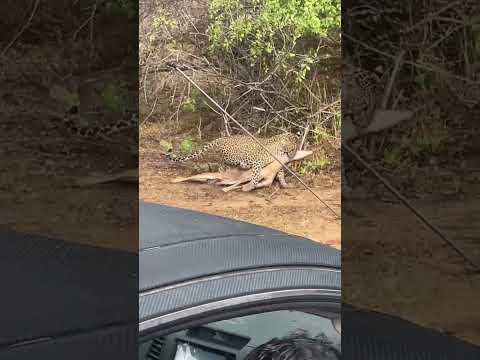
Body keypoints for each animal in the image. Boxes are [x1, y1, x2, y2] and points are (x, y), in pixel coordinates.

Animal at [167, 133, 298, 188]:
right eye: (292, 148)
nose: (292, 155)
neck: (278, 148)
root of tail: (222, 138)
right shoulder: (258, 162)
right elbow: (256, 174)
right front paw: (252, 185)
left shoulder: (278, 164)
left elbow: (281, 173)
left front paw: (284, 184)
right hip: (231, 157)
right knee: (221, 163)